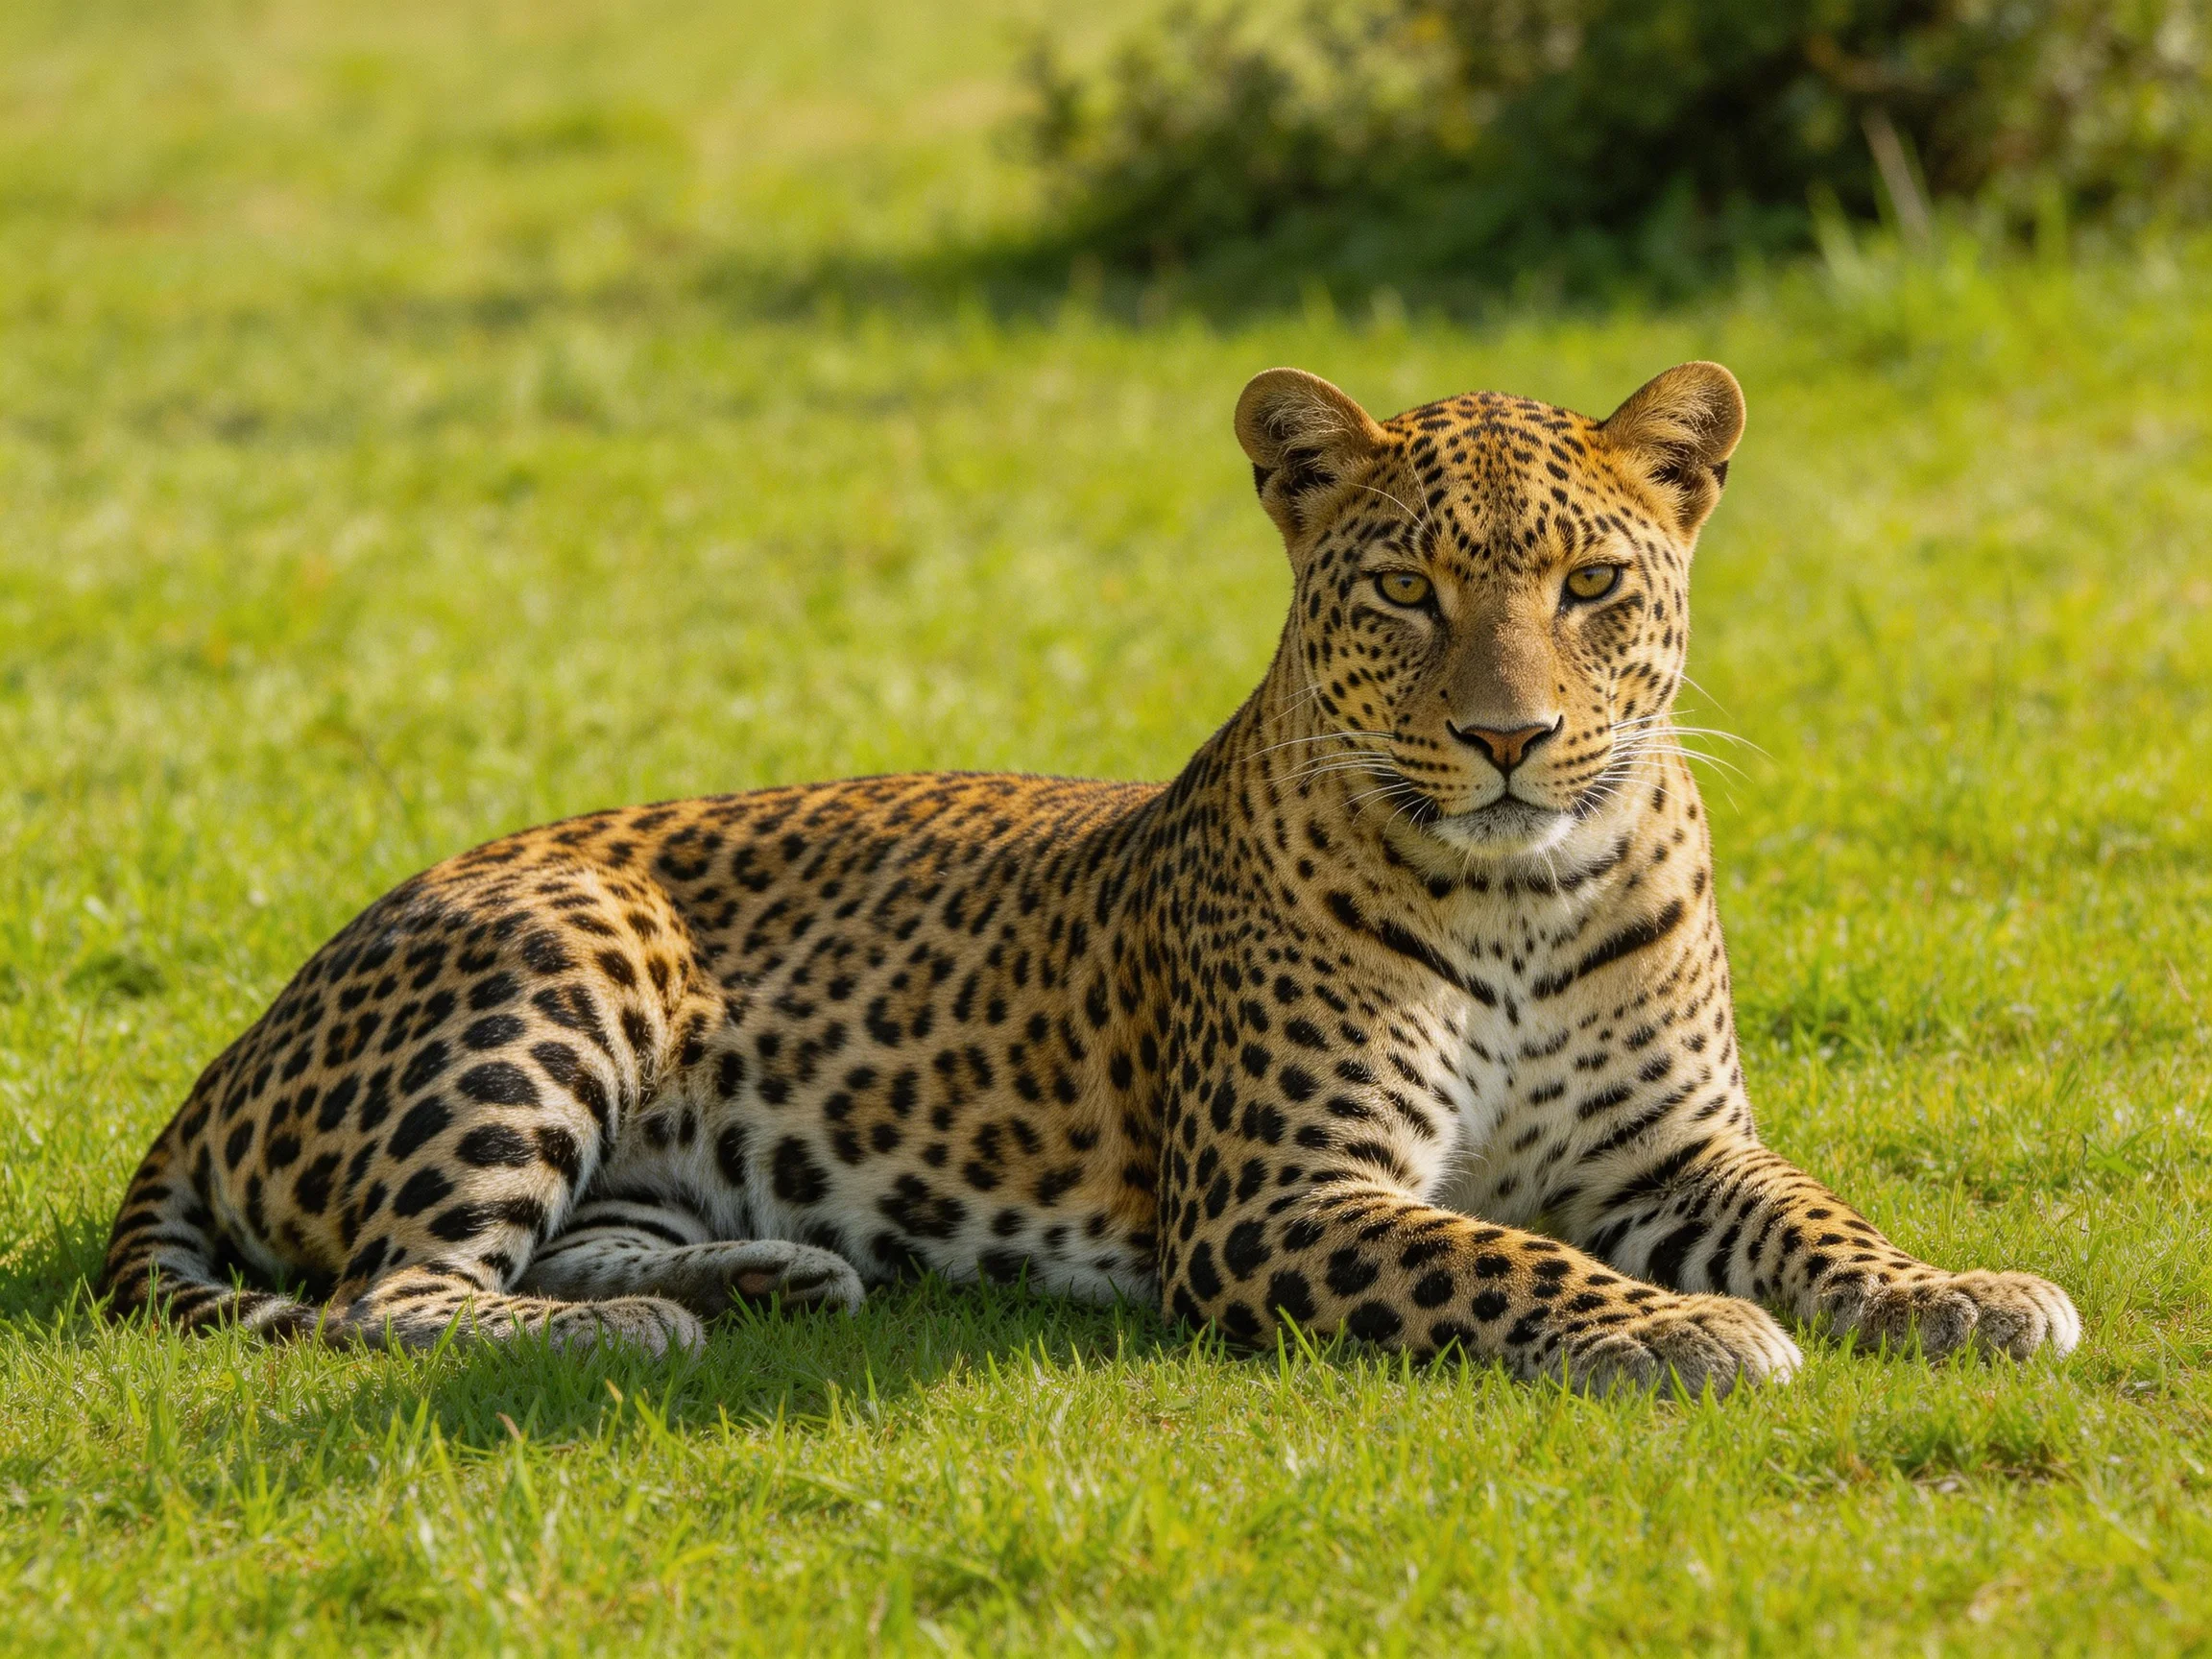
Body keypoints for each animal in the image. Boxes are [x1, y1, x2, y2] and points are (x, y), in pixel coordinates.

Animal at [97, 360, 2080, 1394]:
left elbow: (1820, 1217)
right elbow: (1503, 1257)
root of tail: (240, 1038)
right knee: (402, 1291)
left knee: (548, 1241)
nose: (1510, 737)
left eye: (1587, 584)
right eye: (1404, 589)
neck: (1522, 895)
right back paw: (649, 1325)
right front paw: (1683, 1325)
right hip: (560, 951)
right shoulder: (1280, 1198)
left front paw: (1961, 1291)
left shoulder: (1680, 1151)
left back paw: (768, 1278)